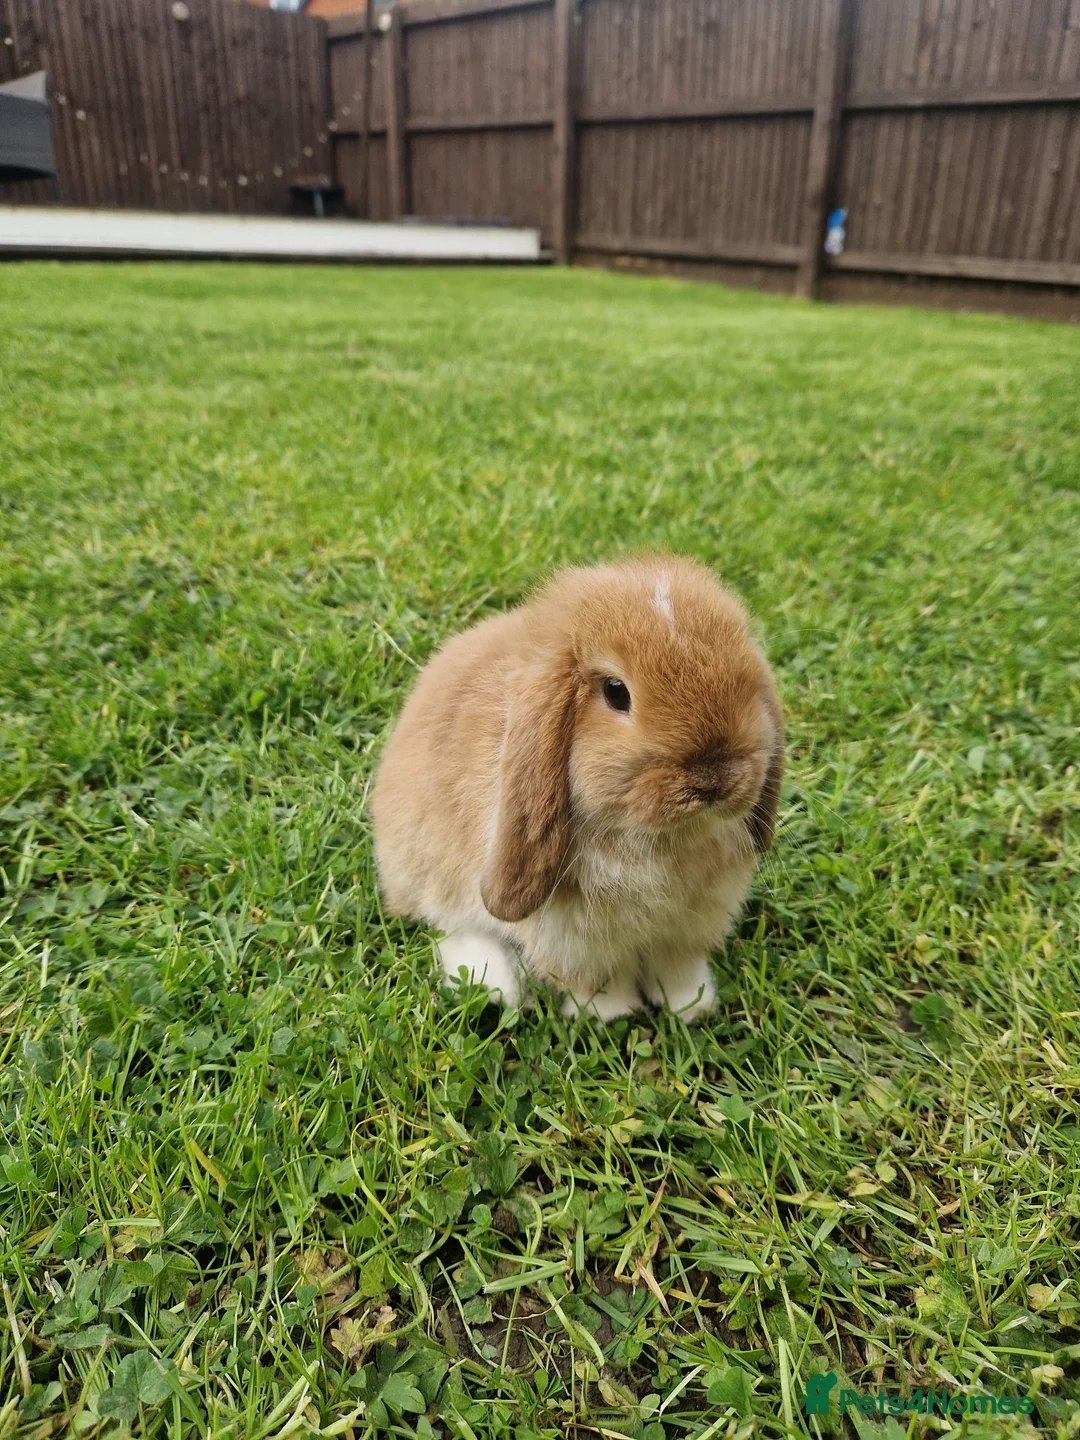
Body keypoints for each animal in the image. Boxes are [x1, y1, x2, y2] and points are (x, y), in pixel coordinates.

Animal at [370, 554, 783, 1022]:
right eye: (616, 692)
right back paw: (496, 988)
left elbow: (678, 968)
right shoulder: (574, 940)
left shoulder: (690, 925)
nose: (714, 778)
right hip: (434, 869)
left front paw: (692, 1008)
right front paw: (611, 1017)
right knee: (454, 924)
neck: (660, 839)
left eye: (746, 680)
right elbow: (598, 980)